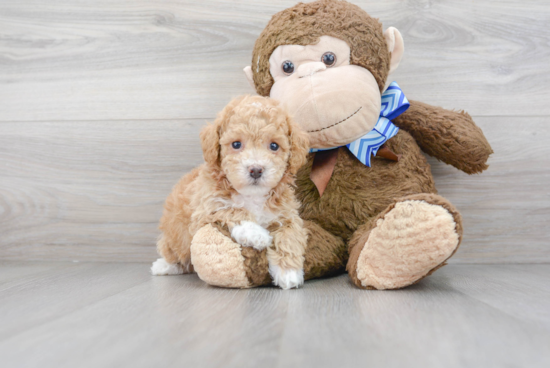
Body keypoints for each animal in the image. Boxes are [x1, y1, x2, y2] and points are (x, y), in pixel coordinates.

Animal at [153, 95, 312, 290]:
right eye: (236, 144)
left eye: (274, 146)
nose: (256, 170)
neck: (252, 196)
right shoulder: (206, 208)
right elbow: (233, 210)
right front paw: (257, 234)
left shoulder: (287, 215)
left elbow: (290, 236)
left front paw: (288, 272)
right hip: (175, 234)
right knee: (173, 251)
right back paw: (163, 265)